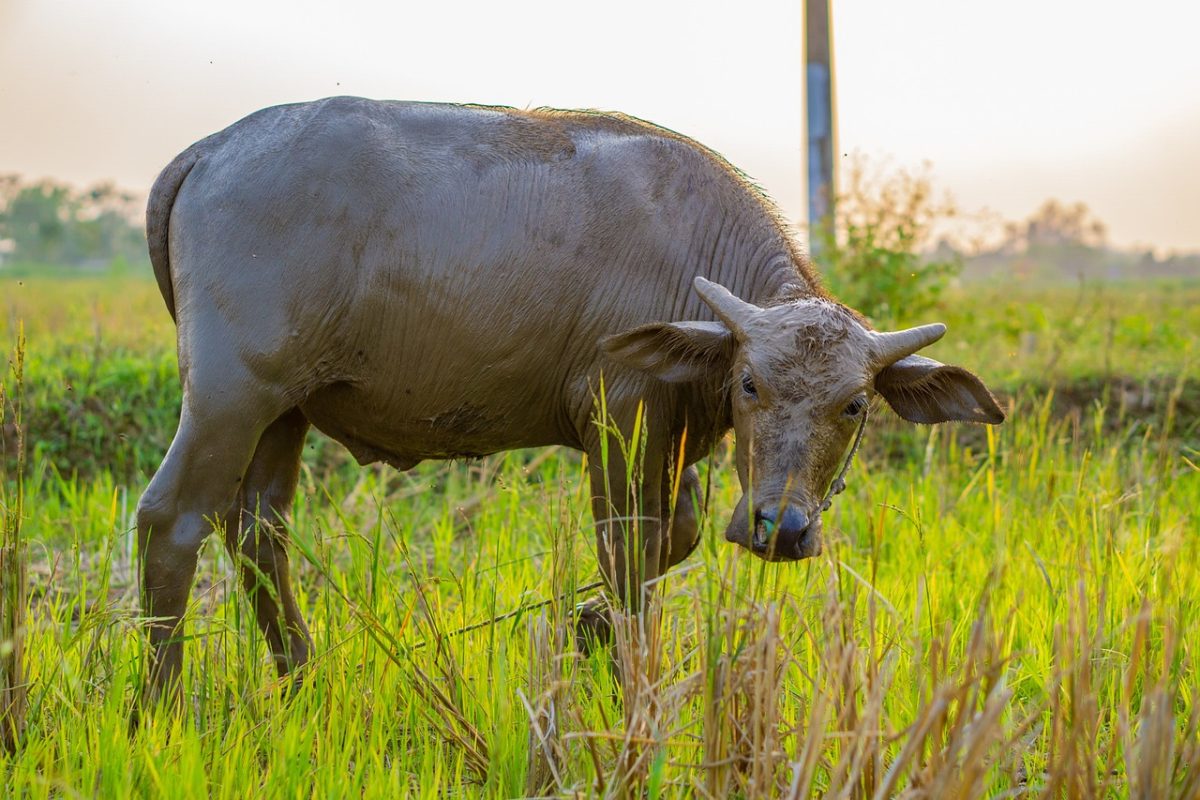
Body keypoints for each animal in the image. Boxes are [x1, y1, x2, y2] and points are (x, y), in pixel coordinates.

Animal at [140, 97, 1003, 705]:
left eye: (854, 406)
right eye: (751, 384)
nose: (780, 530)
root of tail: (211, 150)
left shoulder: (677, 439)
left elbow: (674, 536)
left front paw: (586, 627)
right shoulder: (620, 417)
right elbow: (627, 552)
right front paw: (622, 676)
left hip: (285, 409)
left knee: (258, 528)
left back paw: (302, 677)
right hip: (229, 396)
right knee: (172, 519)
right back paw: (163, 707)